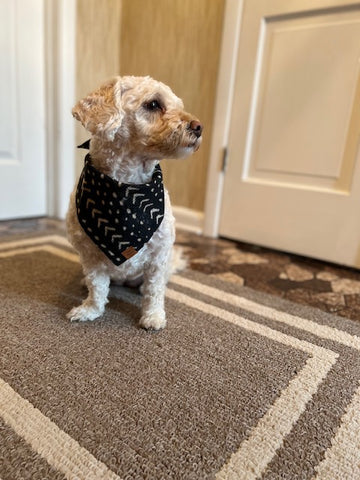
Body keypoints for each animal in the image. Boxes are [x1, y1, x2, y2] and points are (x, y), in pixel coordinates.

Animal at [65, 77, 202, 330]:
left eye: (178, 104)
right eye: (153, 104)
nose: (199, 126)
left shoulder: (159, 256)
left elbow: (154, 290)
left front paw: (153, 316)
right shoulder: (90, 256)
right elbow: (97, 288)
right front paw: (90, 310)